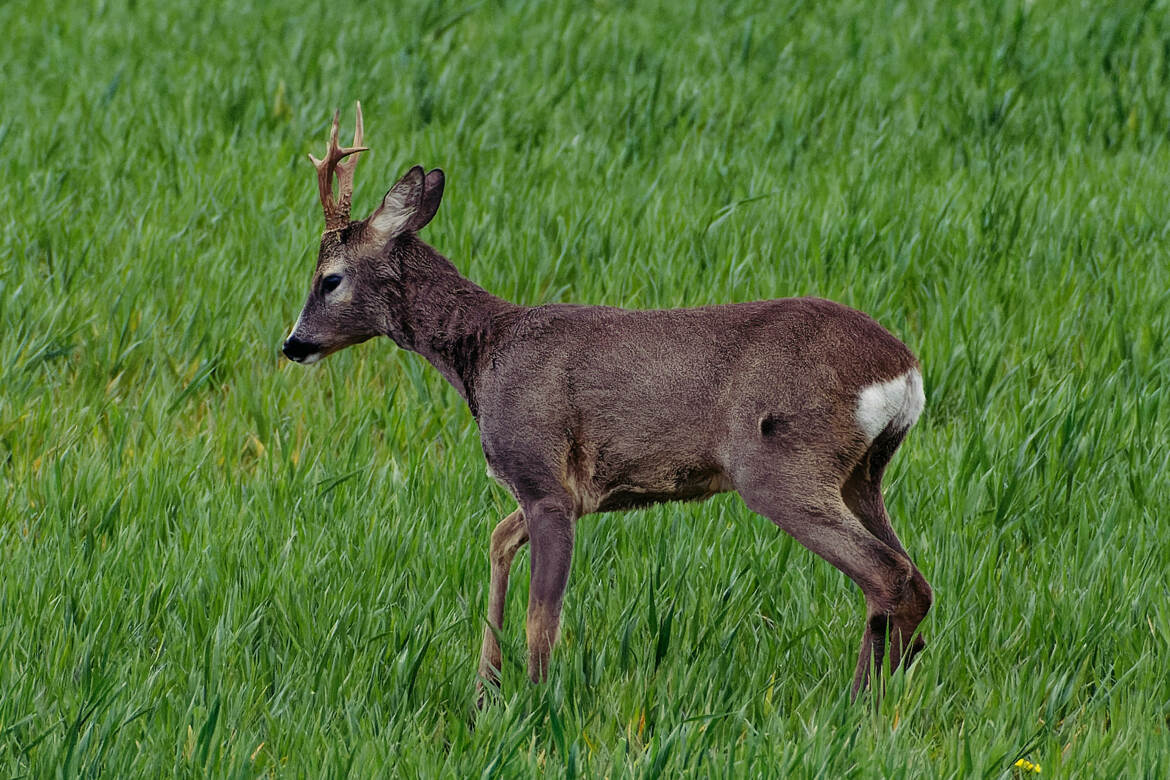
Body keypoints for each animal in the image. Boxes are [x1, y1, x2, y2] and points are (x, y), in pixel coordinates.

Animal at [283, 100, 931, 706]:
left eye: (329, 278)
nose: (292, 344)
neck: (484, 354)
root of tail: (904, 370)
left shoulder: (544, 479)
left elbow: (542, 618)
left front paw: (535, 709)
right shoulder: (566, 493)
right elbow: (496, 542)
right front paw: (486, 689)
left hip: (782, 462)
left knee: (889, 575)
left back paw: (860, 704)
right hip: (863, 474)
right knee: (915, 579)